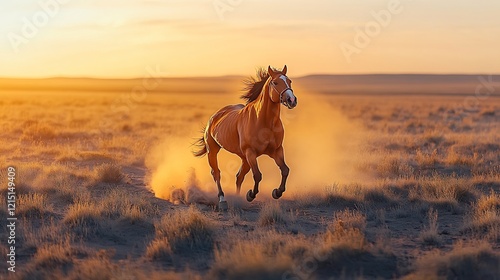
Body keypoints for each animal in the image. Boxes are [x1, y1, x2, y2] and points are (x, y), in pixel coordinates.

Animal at [193, 66, 298, 210]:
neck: (264, 122)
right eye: (276, 82)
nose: (291, 100)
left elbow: (285, 170)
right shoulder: (251, 153)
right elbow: (258, 175)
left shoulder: (276, 151)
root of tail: (214, 117)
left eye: (289, 81)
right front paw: (250, 195)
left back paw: (237, 199)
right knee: (217, 173)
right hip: (213, 151)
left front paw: (277, 192)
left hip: (244, 158)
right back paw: (223, 200)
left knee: (239, 176)